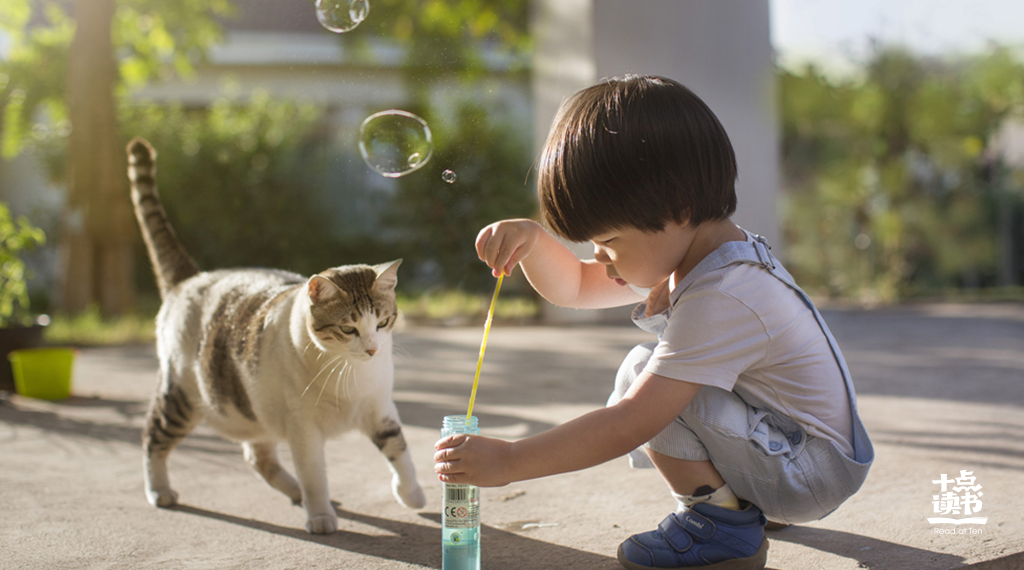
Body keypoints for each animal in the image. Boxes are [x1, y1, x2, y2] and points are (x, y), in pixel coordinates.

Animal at [126, 137, 423, 532]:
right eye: (349, 328)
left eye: (383, 323)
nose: (373, 349)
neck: (349, 373)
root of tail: (191, 277)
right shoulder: (303, 428)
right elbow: (315, 473)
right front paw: (320, 515)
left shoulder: (379, 408)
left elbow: (399, 450)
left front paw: (412, 493)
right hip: (182, 397)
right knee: (152, 437)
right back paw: (159, 491)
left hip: (251, 409)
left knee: (257, 456)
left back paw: (293, 491)